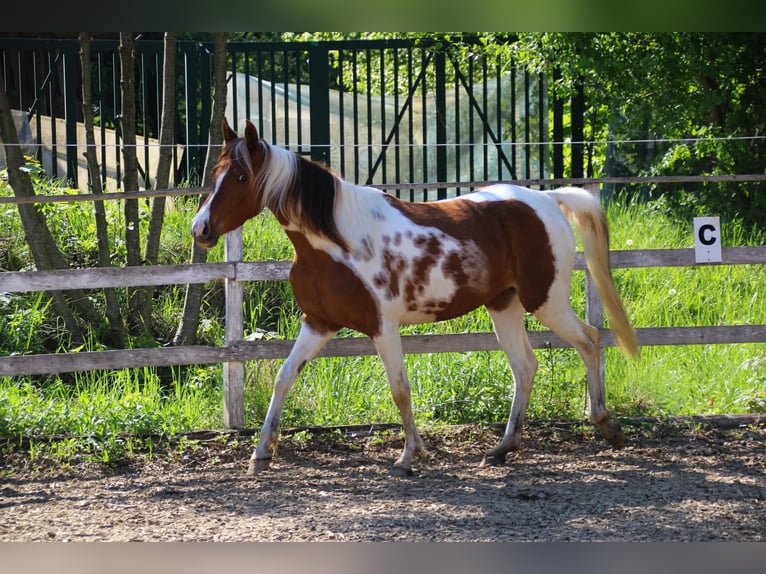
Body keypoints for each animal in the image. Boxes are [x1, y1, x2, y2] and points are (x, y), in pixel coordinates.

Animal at [191, 118, 640, 477]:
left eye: (242, 178)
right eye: (215, 171)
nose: (201, 229)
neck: (337, 241)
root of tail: (547, 199)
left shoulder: (382, 327)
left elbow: (399, 388)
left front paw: (409, 457)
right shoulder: (318, 324)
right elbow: (284, 378)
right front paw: (260, 455)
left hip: (546, 301)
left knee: (589, 340)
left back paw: (608, 426)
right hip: (504, 305)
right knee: (526, 366)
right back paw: (502, 448)